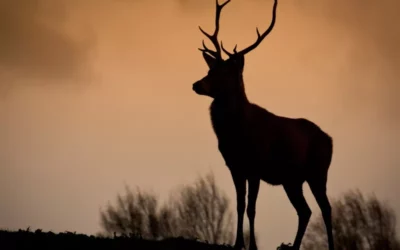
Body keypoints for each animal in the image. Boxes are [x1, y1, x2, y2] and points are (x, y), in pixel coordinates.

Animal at [191, 0, 334, 250]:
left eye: (225, 73)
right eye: (210, 70)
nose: (196, 84)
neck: (236, 133)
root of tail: (331, 140)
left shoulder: (255, 165)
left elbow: (251, 208)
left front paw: (252, 246)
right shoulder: (234, 166)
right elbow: (239, 206)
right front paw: (238, 244)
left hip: (318, 171)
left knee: (326, 209)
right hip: (292, 180)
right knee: (305, 211)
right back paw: (293, 246)